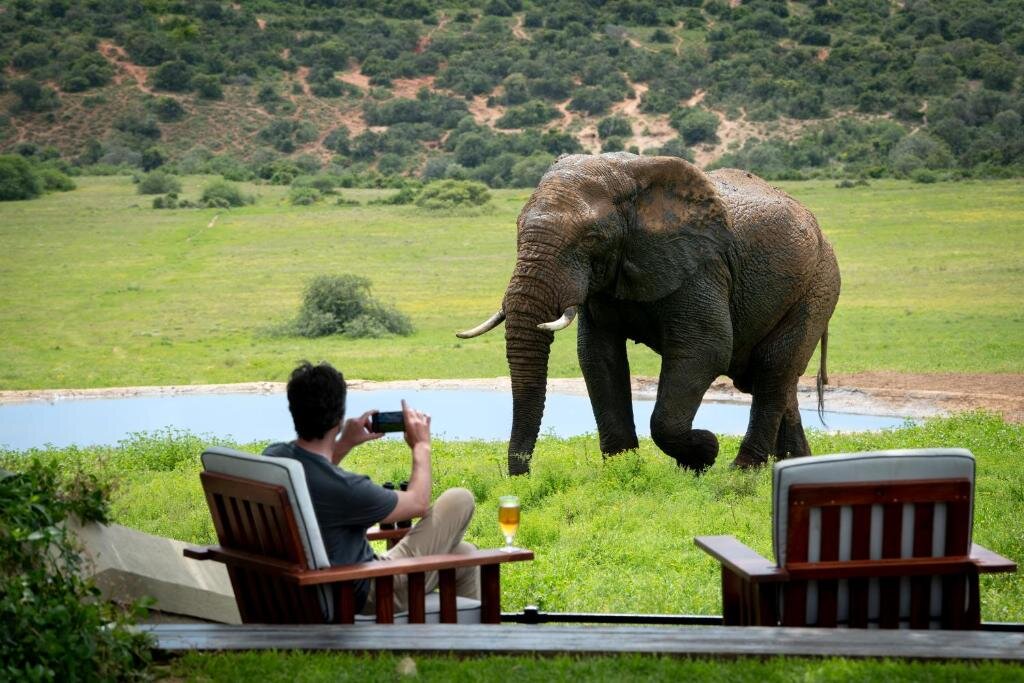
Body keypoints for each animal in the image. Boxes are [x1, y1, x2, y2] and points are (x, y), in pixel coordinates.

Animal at [457, 152, 840, 476]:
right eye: (517, 229)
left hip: (817, 287)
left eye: (591, 238)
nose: (522, 477)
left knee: (774, 369)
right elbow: (598, 357)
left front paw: (704, 452)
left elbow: (706, 350)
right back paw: (797, 464)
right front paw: (622, 470)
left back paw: (742, 471)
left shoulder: (700, 266)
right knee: (771, 379)